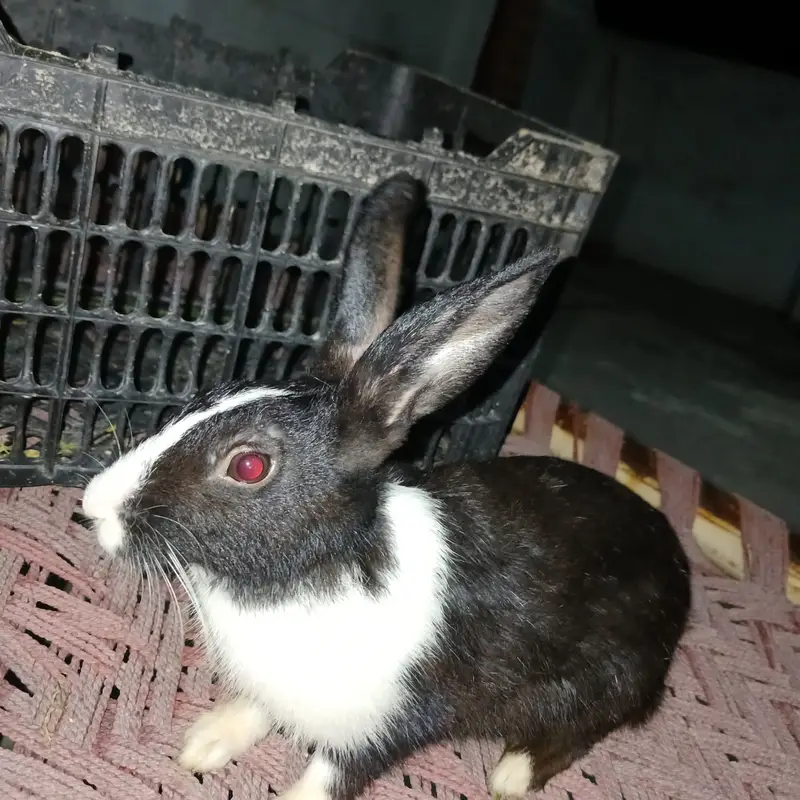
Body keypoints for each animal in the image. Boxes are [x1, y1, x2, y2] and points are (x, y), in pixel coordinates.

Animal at [81, 172, 691, 800]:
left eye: (248, 466)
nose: (93, 506)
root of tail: (676, 561)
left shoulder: (385, 727)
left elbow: (326, 780)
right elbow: (257, 708)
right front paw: (204, 742)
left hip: (603, 681)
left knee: (580, 729)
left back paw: (510, 774)